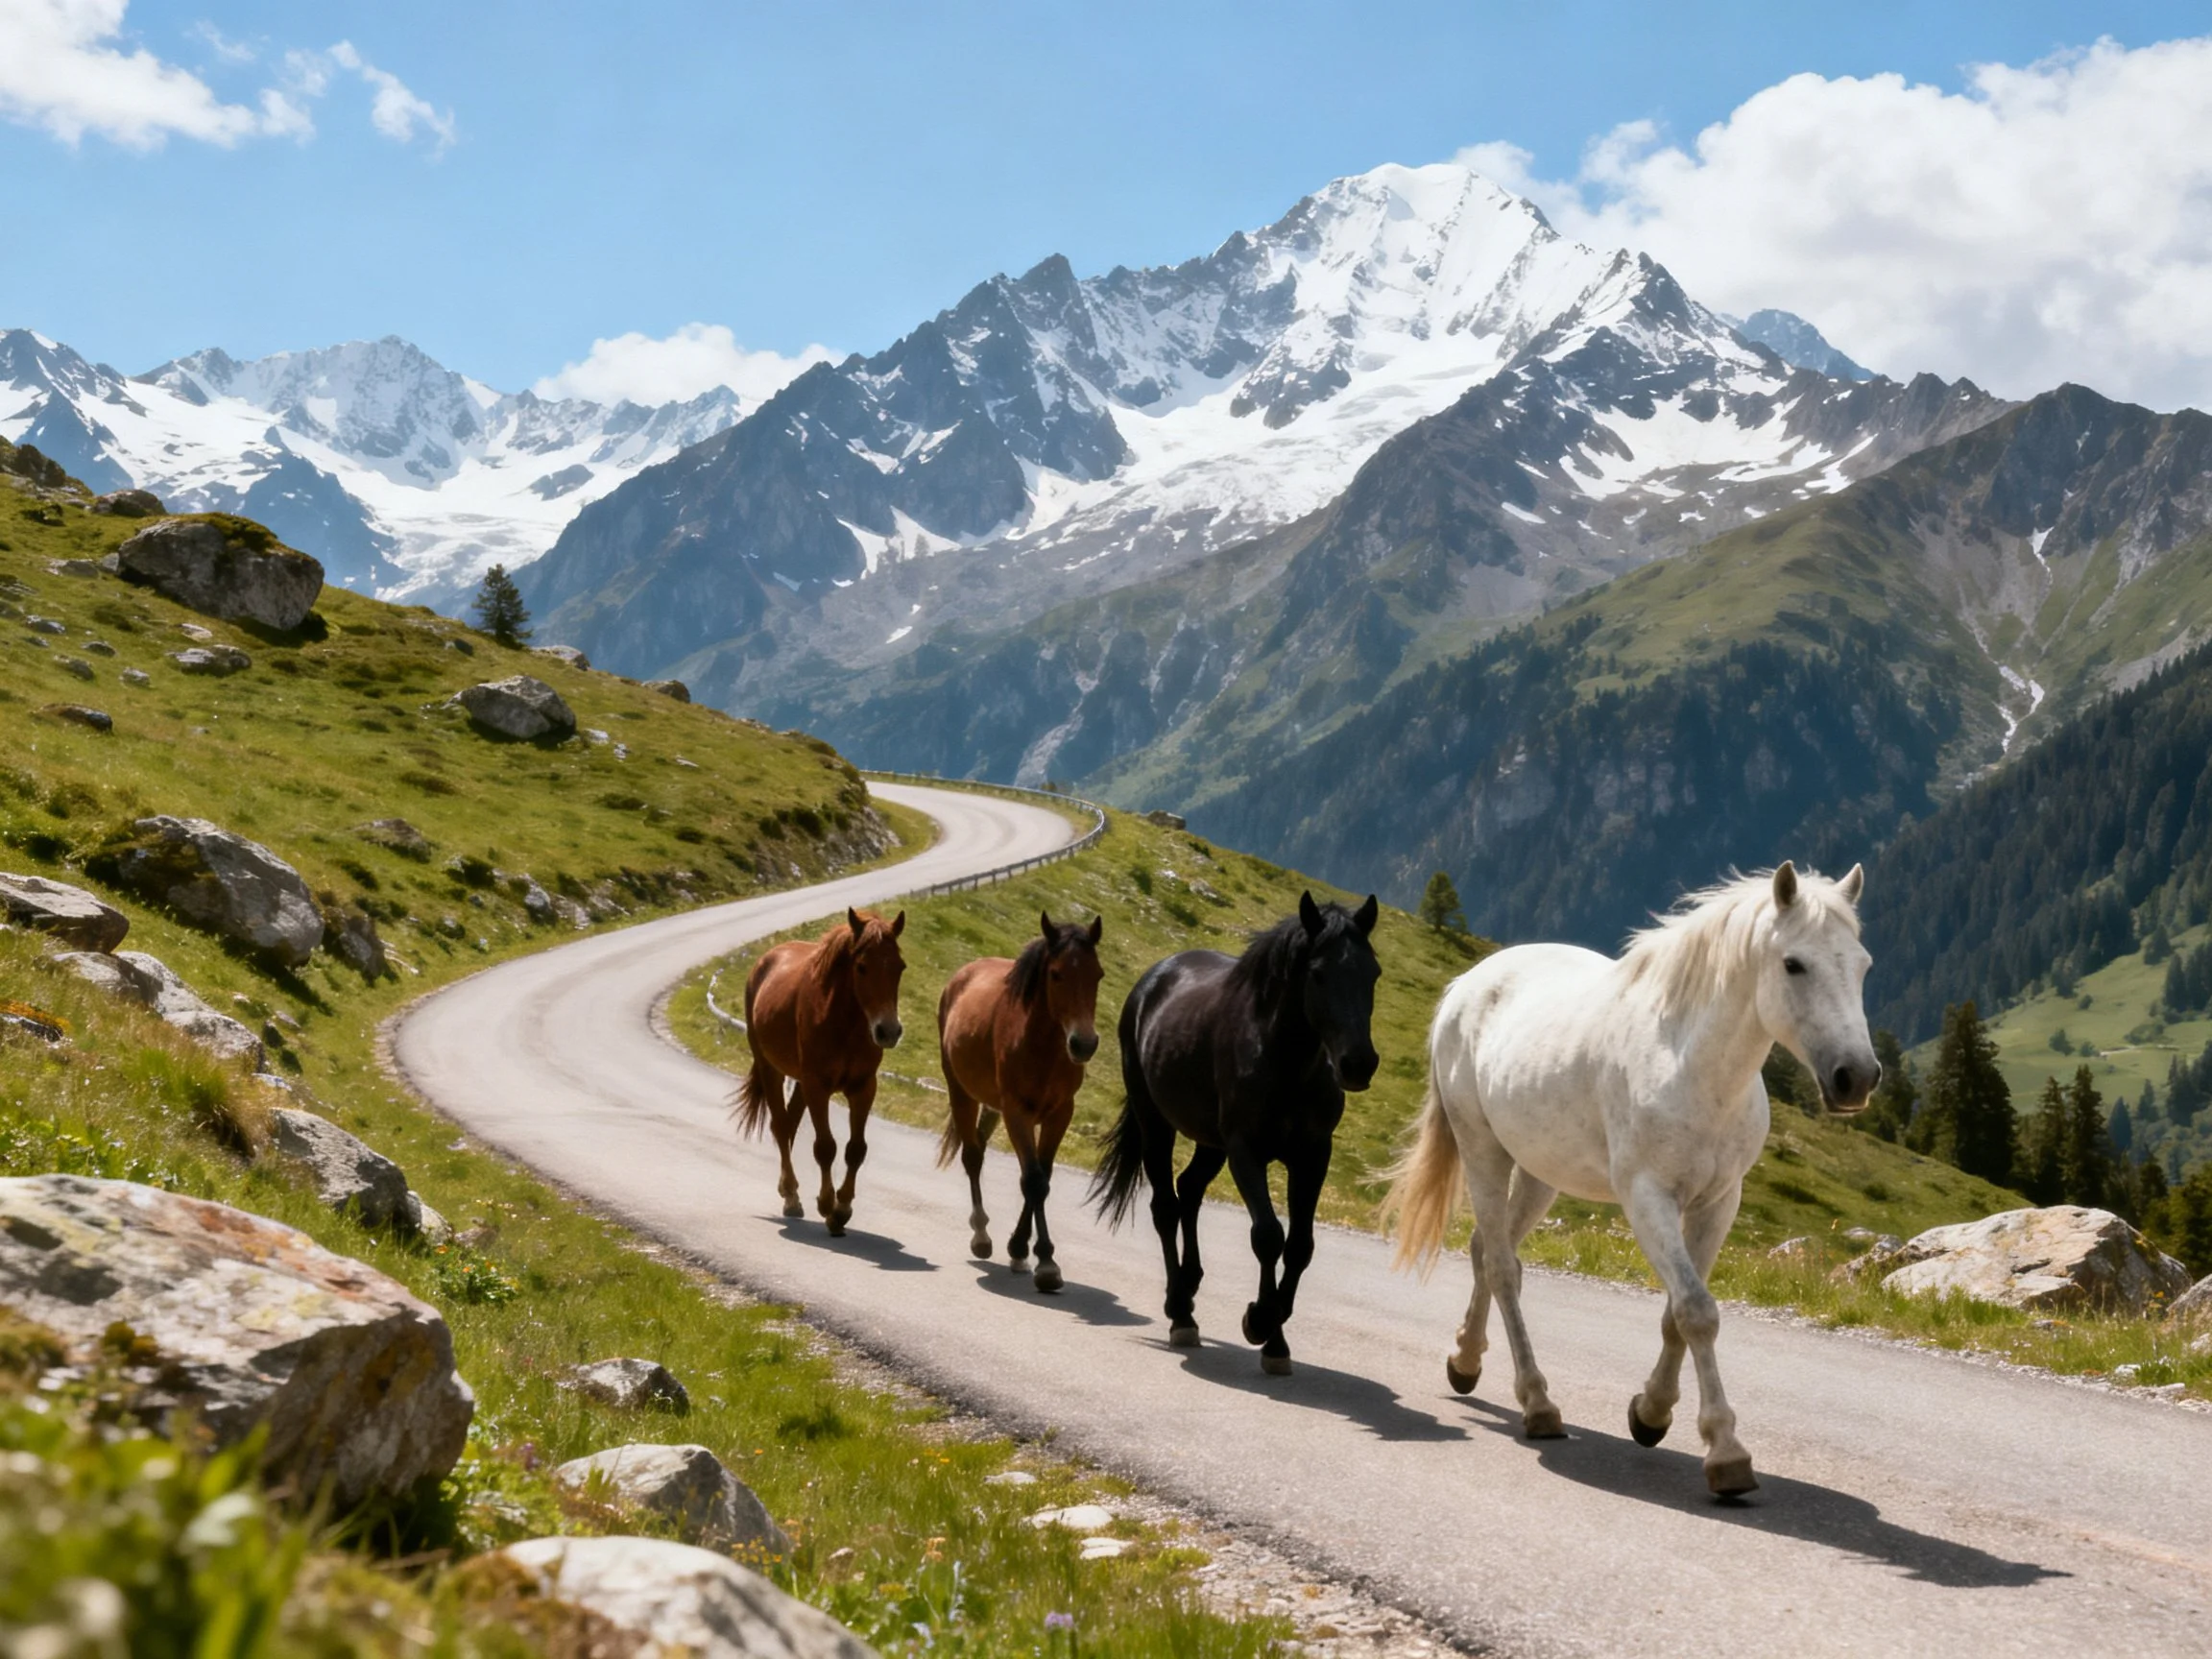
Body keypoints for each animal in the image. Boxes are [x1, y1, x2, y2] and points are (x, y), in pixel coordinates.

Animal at [735, 906, 907, 1236]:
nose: (888, 1031)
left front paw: (843, 1208)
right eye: (862, 967)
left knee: (789, 1124)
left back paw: (788, 1191)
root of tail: (766, 960)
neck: (844, 1023)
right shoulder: (818, 1086)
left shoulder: (863, 1088)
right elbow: (826, 1147)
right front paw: (828, 1205)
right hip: (771, 1069)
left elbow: (856, 1149)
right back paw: (791, 1196)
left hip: (802, 1082)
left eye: (900, 967)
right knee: (781, 1125)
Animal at [935, 911, 1106, 1293]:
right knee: (972, 1156)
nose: (1084, 1044)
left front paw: (1022, 1250)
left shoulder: (1060, 1114)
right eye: (1056, 974)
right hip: (962, 1093)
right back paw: (981, 1235)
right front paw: (1045, 1262)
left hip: (992, 1106)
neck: (1042, 1046)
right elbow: (1034, 1181)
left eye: (1098, 974)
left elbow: (1042, 1177)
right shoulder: (1018, 1113)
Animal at [1092, 892, 1381, 1375]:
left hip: (1210, 1142)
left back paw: (1189, 1285)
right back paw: (1180, 1312)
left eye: (1373, 973)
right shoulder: (1246, 1150)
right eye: (1319, 974)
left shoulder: (1313, 1155)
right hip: (1157, 1124)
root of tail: (1153, 979)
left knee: (1188, 1190)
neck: (1285, 1062)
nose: (1358, 1063)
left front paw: (1276, 1339)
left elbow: (1300, 1246)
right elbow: (1267, 1235)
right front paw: (1260, 1321)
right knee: (1165, 1207)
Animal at [1384, 863, 1878, 1496]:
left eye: (1862, 964)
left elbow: (1677, 1315)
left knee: (1485, 1251)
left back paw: (1466, 1361)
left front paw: (1652, 1413)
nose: (1856, 1078)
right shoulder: (1649, 1200)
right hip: (1482, 1151)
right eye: (1794, 964)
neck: (1689, 1066)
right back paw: (1537, 1404)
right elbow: (1697, 1312)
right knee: (1502, 1268)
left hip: (1541, 1172)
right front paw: (1725, 1451)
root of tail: (1467, 983)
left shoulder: (1719, 1203)